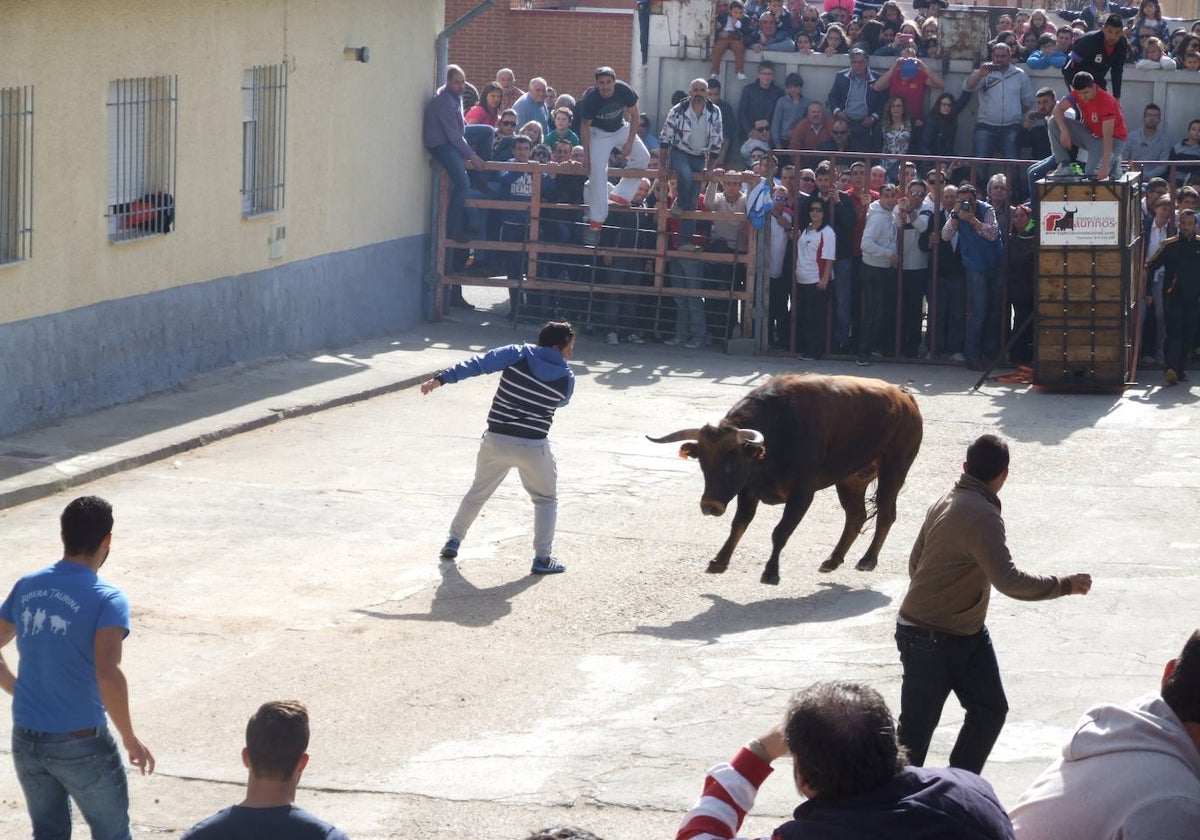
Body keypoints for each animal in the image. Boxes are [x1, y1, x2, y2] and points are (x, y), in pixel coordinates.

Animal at [652, 374, 921, 583]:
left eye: (731, 462)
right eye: (703, 462)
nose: (710, 506)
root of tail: (905, 398)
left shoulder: (802, 494)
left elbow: (780, 531)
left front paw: (771, 572)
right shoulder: (748, 490)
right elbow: (739, 524)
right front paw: (719, 561)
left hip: (894, 472)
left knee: (885, 514)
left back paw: (868, 559)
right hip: (850, 481)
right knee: (856, 516)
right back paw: (832, 560)